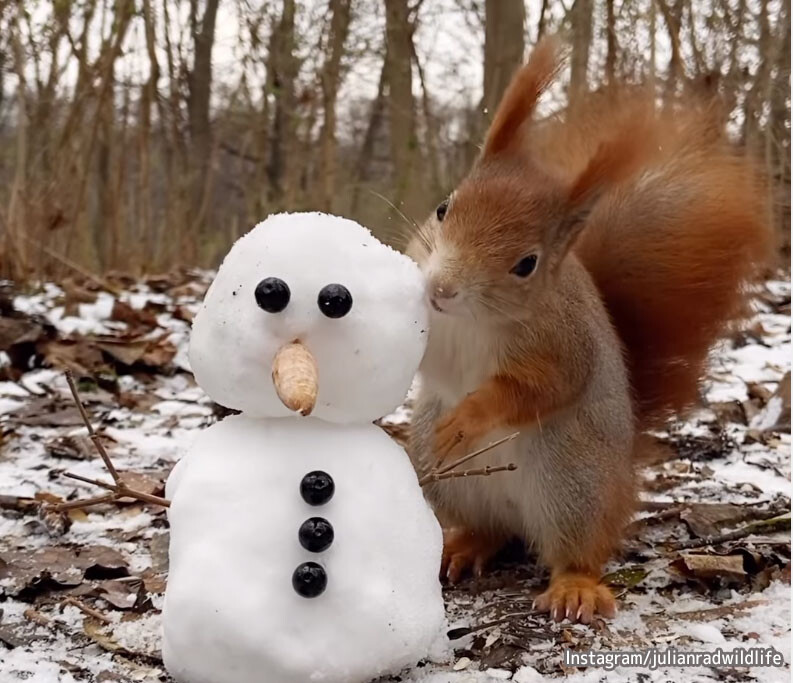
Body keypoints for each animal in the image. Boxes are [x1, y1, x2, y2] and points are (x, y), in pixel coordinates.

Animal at [406, 38, 772, 624]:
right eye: (443, 208)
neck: (470, 321)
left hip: (573, 481)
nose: (441, 290)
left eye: (527, 264)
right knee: (489, 529)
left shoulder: (564, 344)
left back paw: (574, 587)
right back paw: (461, 547)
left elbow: (540, 389)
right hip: (446, 477)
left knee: (576, 549)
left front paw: (469, 417)